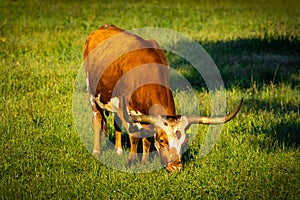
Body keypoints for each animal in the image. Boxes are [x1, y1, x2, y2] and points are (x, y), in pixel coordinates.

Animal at [83, 24, 243, 172]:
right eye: (162, 140)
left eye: (185, 142)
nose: (175, 167)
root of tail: (103, 28)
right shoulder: (128, 110)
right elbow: (134, 136)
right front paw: (131, 161)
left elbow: (147, 139)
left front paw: (145, 161)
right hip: (91, 91)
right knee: (97, 119)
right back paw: (97, 152)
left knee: (116, 123)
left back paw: (118, 150)